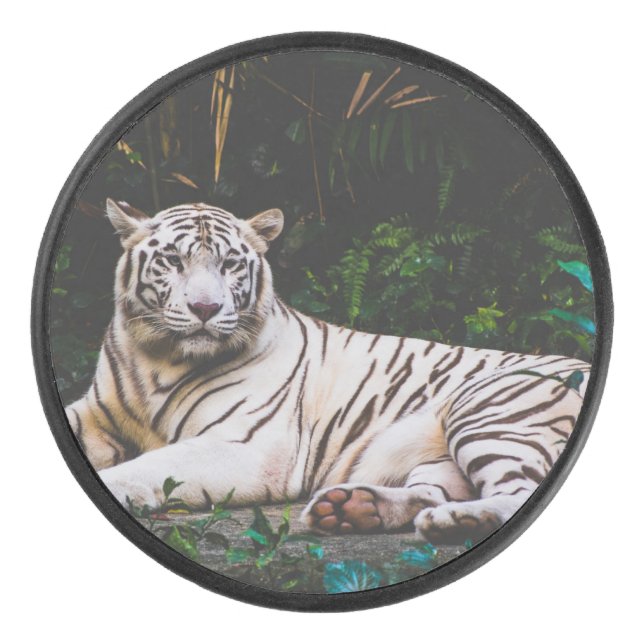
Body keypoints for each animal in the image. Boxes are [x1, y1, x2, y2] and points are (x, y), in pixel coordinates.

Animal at [64, 199, 590, 543]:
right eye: (172, 259)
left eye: (230, 262)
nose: (205, 308)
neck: (158, 358)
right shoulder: (94, 415)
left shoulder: (249, 446)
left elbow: (153, 464)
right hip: (438, 456)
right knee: (429, 493)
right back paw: (356, 511)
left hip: (489, 411)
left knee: (517, 491)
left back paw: (458, 523)